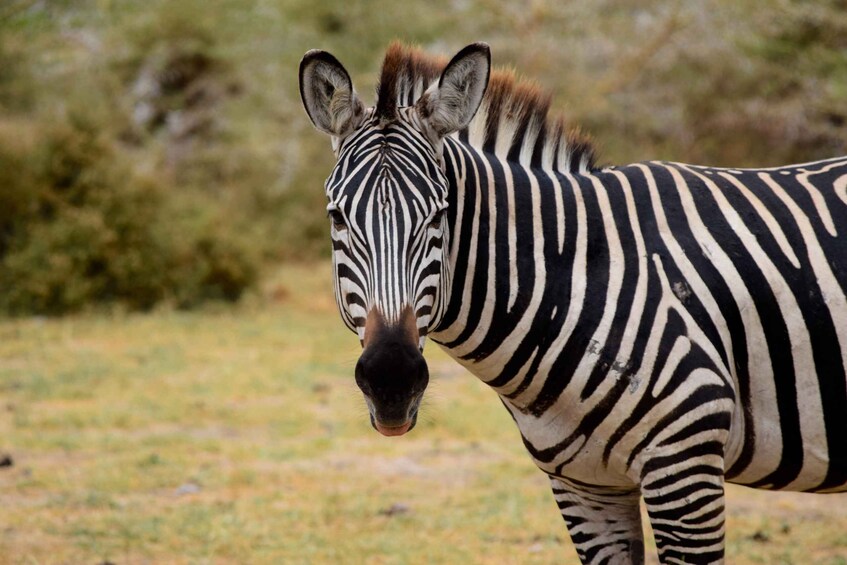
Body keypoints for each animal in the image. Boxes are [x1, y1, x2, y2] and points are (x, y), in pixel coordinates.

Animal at [298, 41, 847, 564]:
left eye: (440, 215)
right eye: (337, 217)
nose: (391, 380)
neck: (578, 280)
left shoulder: (685, 463)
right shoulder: (585, 487)